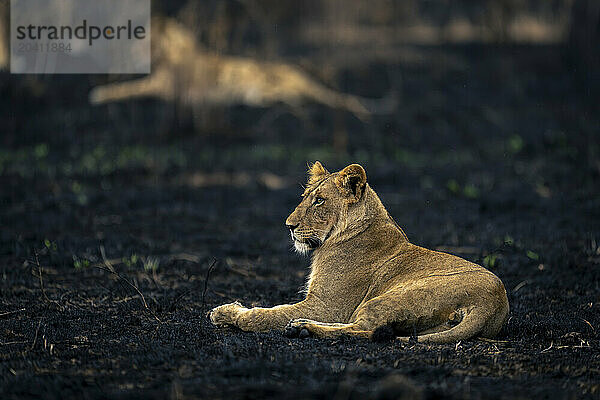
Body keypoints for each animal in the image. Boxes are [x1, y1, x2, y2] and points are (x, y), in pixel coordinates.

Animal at [209, 161, 508, 342]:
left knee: (367, 330)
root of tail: (493, 303)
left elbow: (267, 315)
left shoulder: (327, 305)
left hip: (392, 296)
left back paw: (303, 328)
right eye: (305, 197)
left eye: (319, 201)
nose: (289, 226)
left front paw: (228, 313)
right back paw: (299, 323)